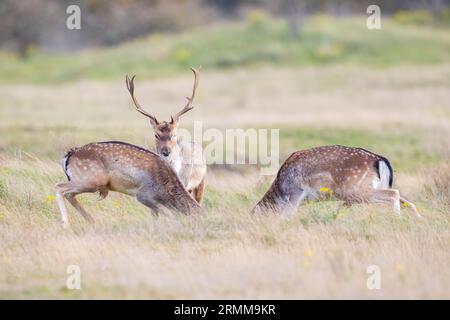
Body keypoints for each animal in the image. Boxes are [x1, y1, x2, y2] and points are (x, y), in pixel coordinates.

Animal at [54, 142, 200, 228]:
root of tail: (68, 155)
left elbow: (157, 215)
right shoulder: (143, 195)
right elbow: (168, 213)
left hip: (85, 182)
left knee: (69, 194)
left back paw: (91, 221)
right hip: (90, 181)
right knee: (59, 186)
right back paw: (66, 224)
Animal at [251, 146, 420, 216]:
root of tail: (380, 160)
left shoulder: (296, 192)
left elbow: (285, 216)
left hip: (358, 190)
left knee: (394, 194)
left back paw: (397, 218)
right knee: (408, 202)